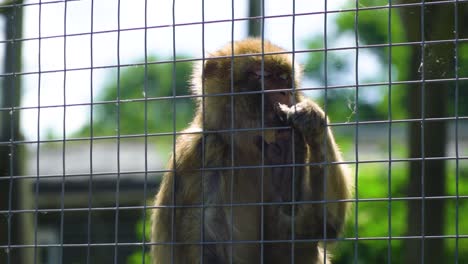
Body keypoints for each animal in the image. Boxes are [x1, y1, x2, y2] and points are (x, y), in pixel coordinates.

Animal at [151, 38, 352, 262]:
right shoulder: (202, 150)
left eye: (284, 78)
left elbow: (320, 226)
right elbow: (206, 245)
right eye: (263, 76)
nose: (286, 92)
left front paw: (313, 124)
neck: (242, 145)